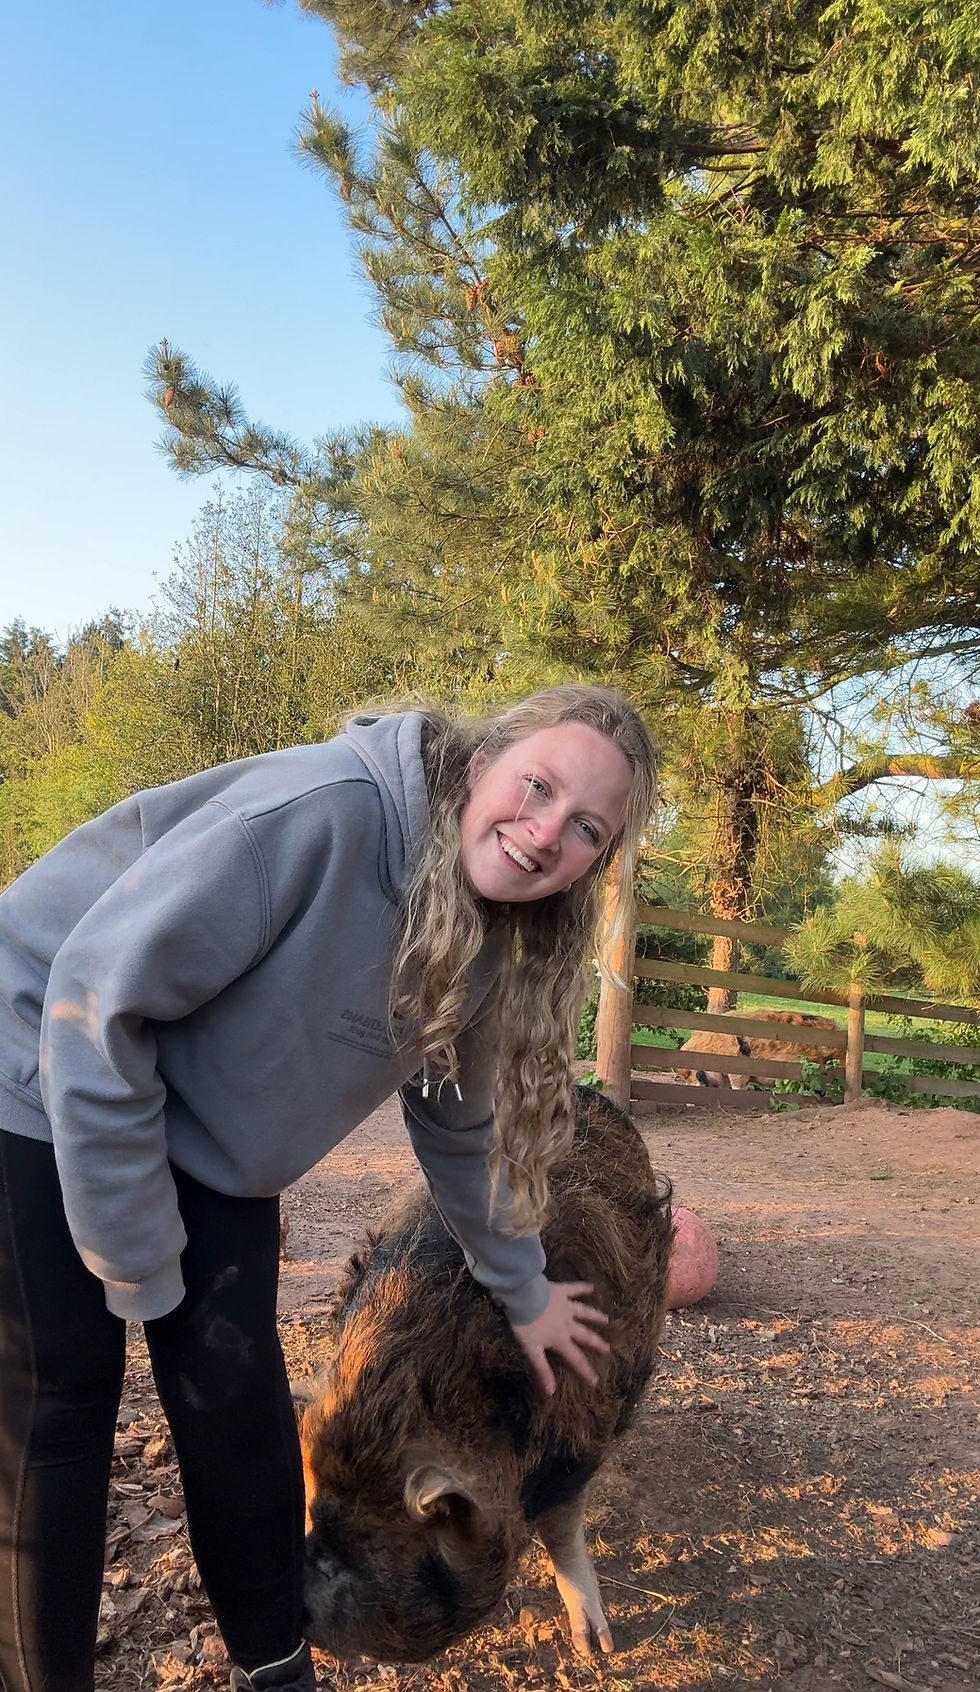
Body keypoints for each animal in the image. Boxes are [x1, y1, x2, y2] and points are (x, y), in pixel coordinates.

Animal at [300, 1084, 673, 1664]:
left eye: (365, 1548)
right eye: (316, 1519)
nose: (299, 1614)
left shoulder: (581, 1433)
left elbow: (561, 1529)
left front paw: (597, 1650)